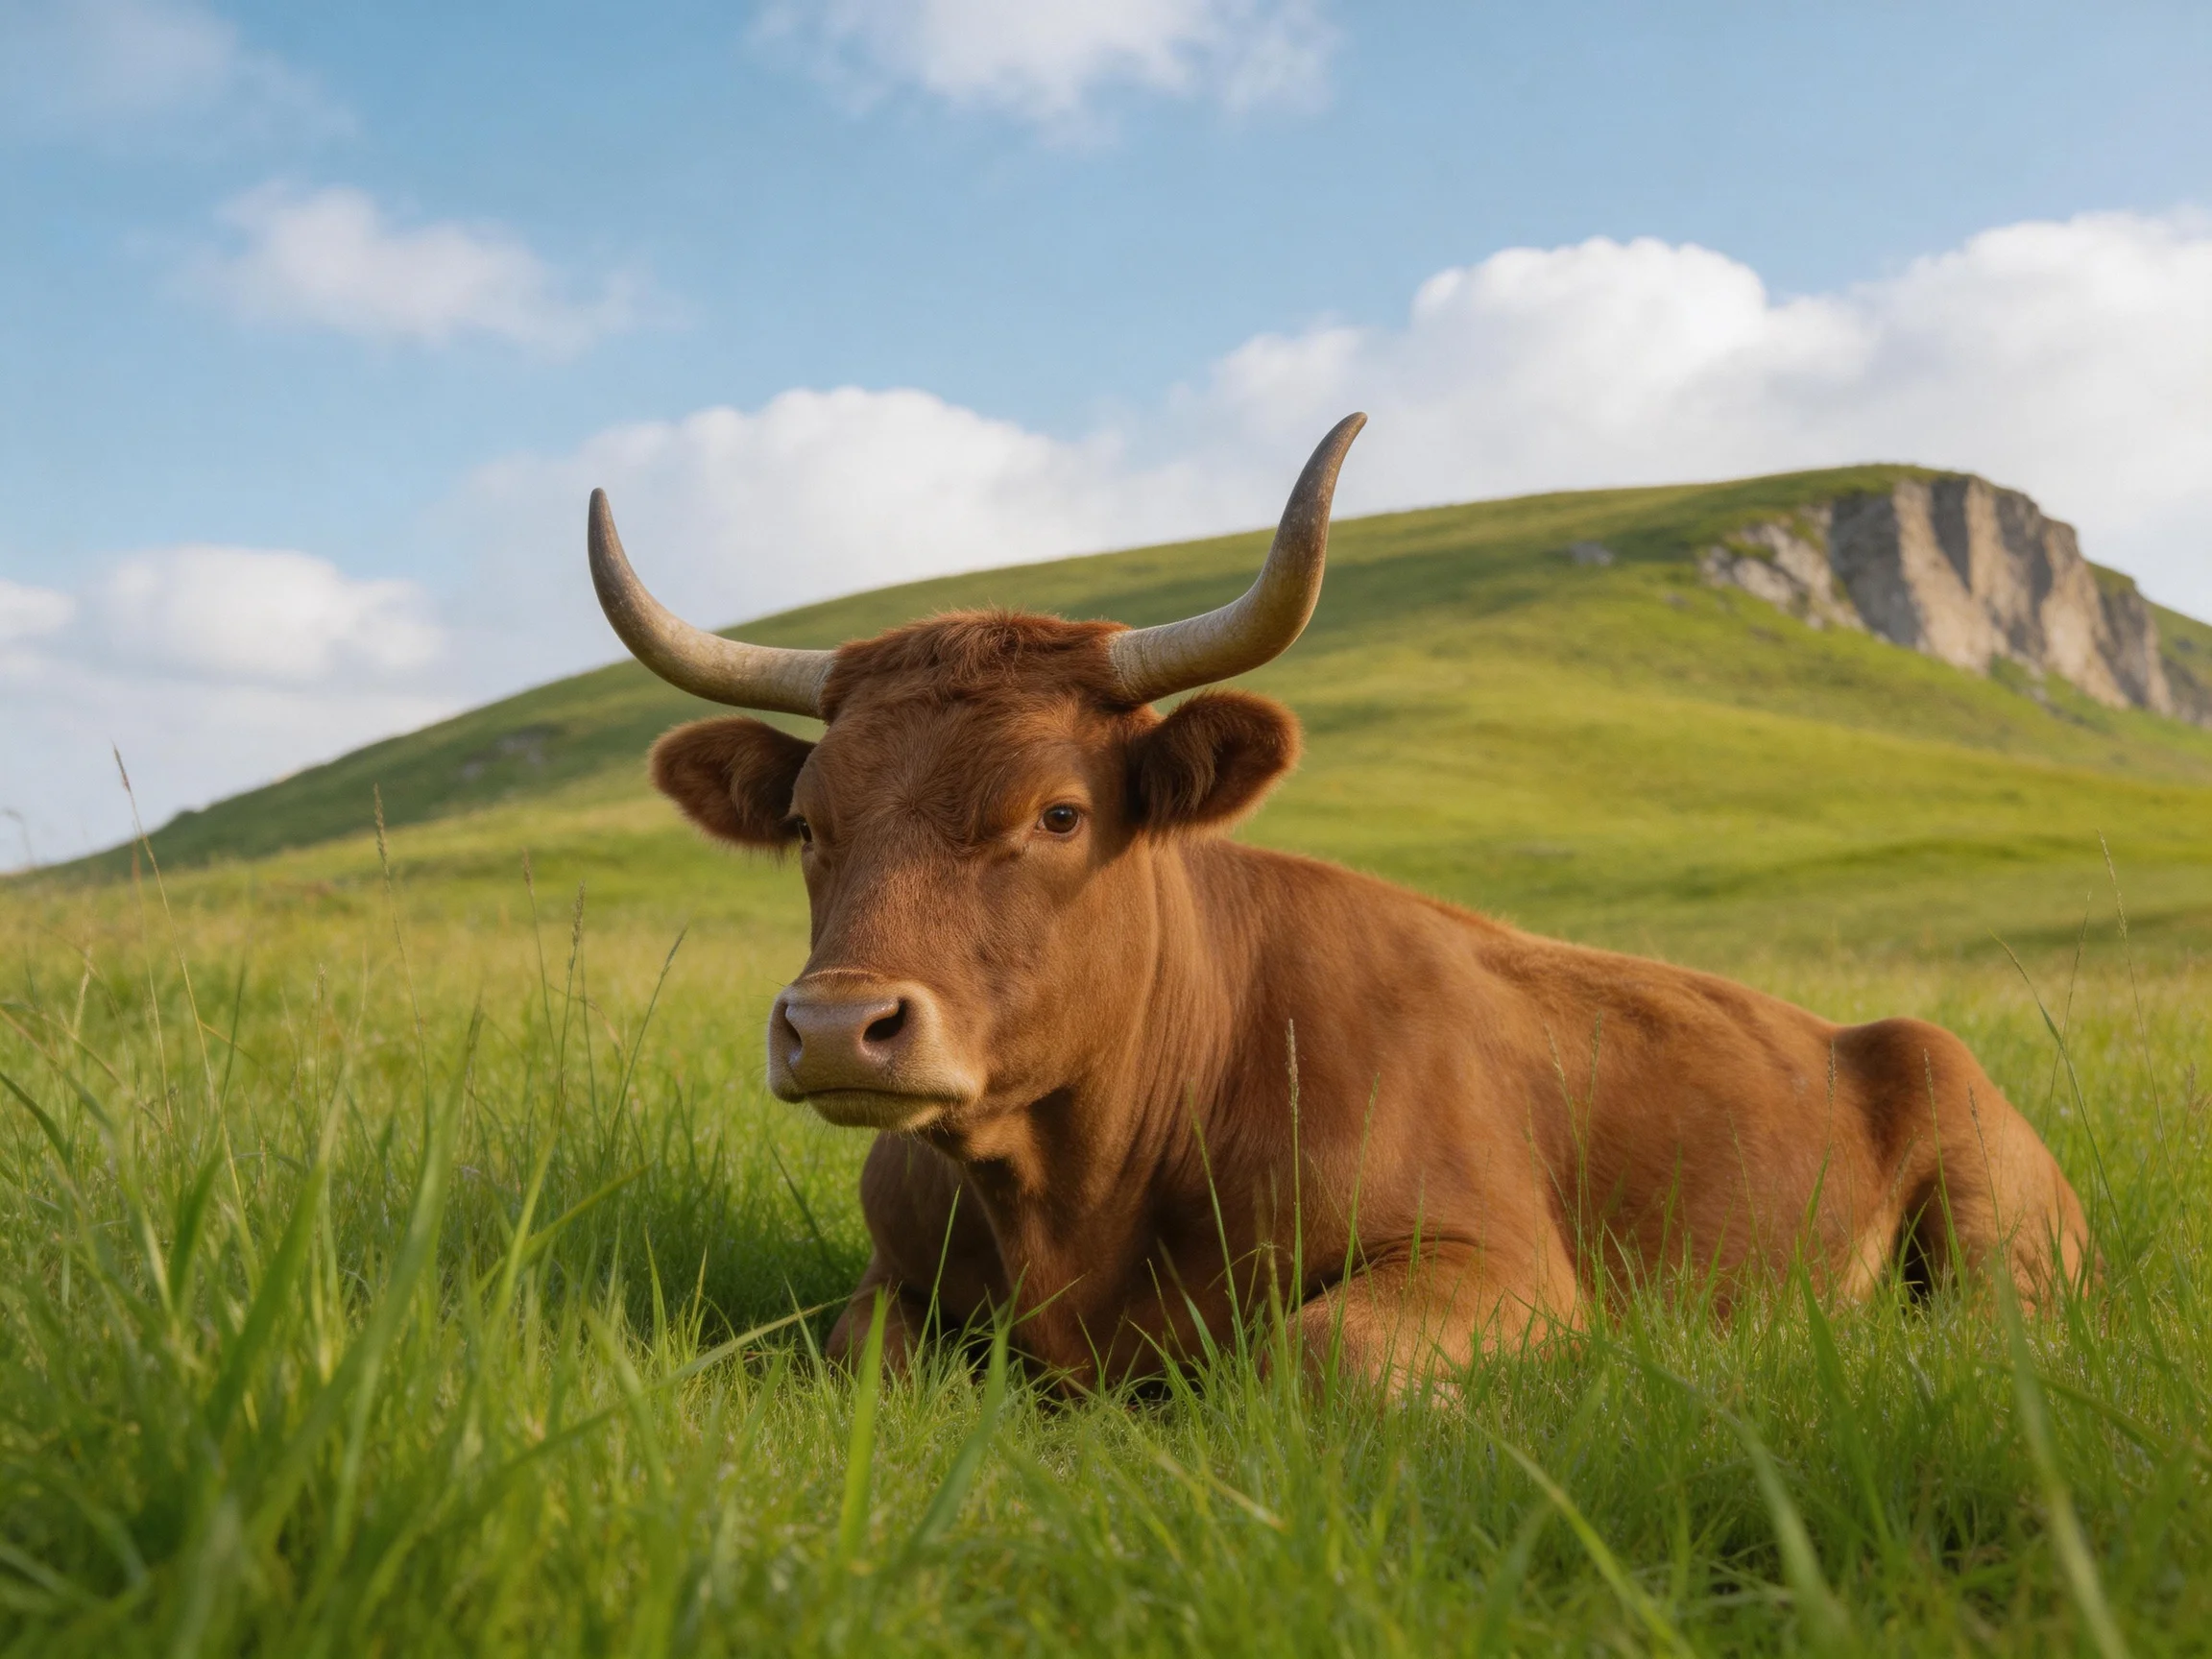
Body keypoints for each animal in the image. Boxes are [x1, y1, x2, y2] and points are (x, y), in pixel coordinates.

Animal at [587, 414, 2090, 1389]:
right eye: (806, 824)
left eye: (1059, 814)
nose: (839, 1028)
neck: (1074, 1195)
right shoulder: (891, 1287)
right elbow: (865, 1358)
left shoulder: (1506, 1269)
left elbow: (1322, 1357)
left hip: (2001, 1232)